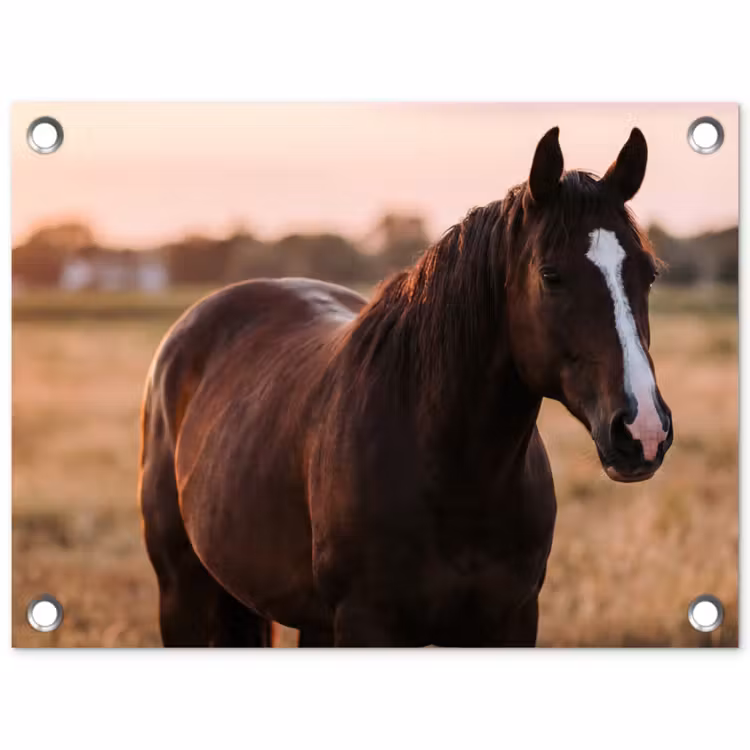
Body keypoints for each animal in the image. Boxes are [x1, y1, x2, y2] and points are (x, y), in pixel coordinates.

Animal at [138, 127, 673, 647]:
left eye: (649, 274)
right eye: (551, 275)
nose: (643, 430)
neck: (452, 474)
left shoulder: (511, 621)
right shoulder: (366, 625)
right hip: (181, 596)